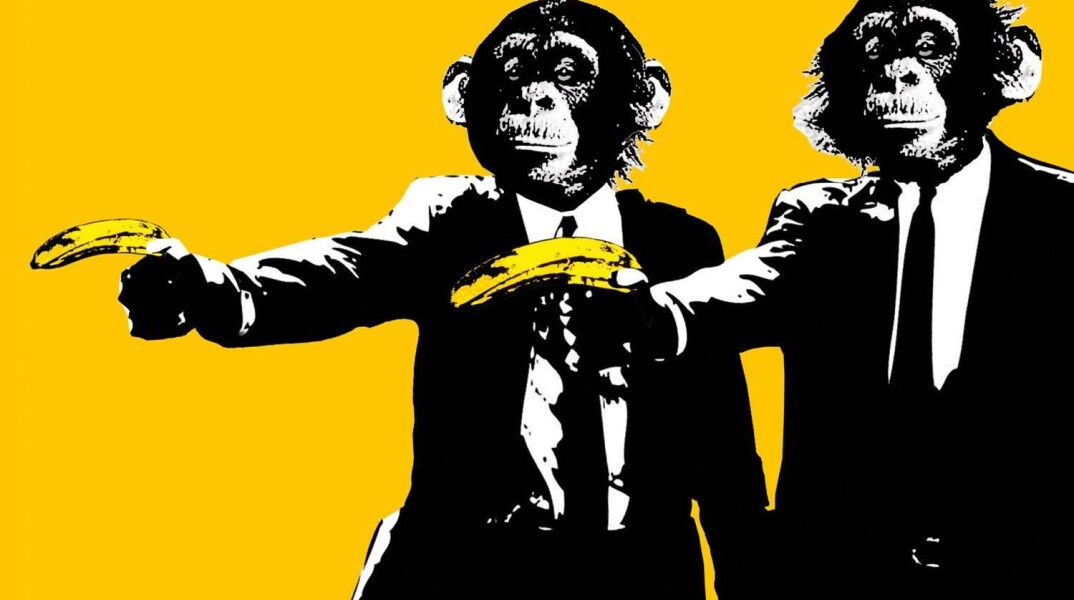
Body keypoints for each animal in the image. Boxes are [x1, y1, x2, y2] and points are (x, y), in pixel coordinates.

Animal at [117, 2, 767, 598]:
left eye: (567, 70)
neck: (563, 217)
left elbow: (724, 449)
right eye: (512, 69)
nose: (532, 98)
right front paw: (185, 286)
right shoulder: (417, 223)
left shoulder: (700, 250)